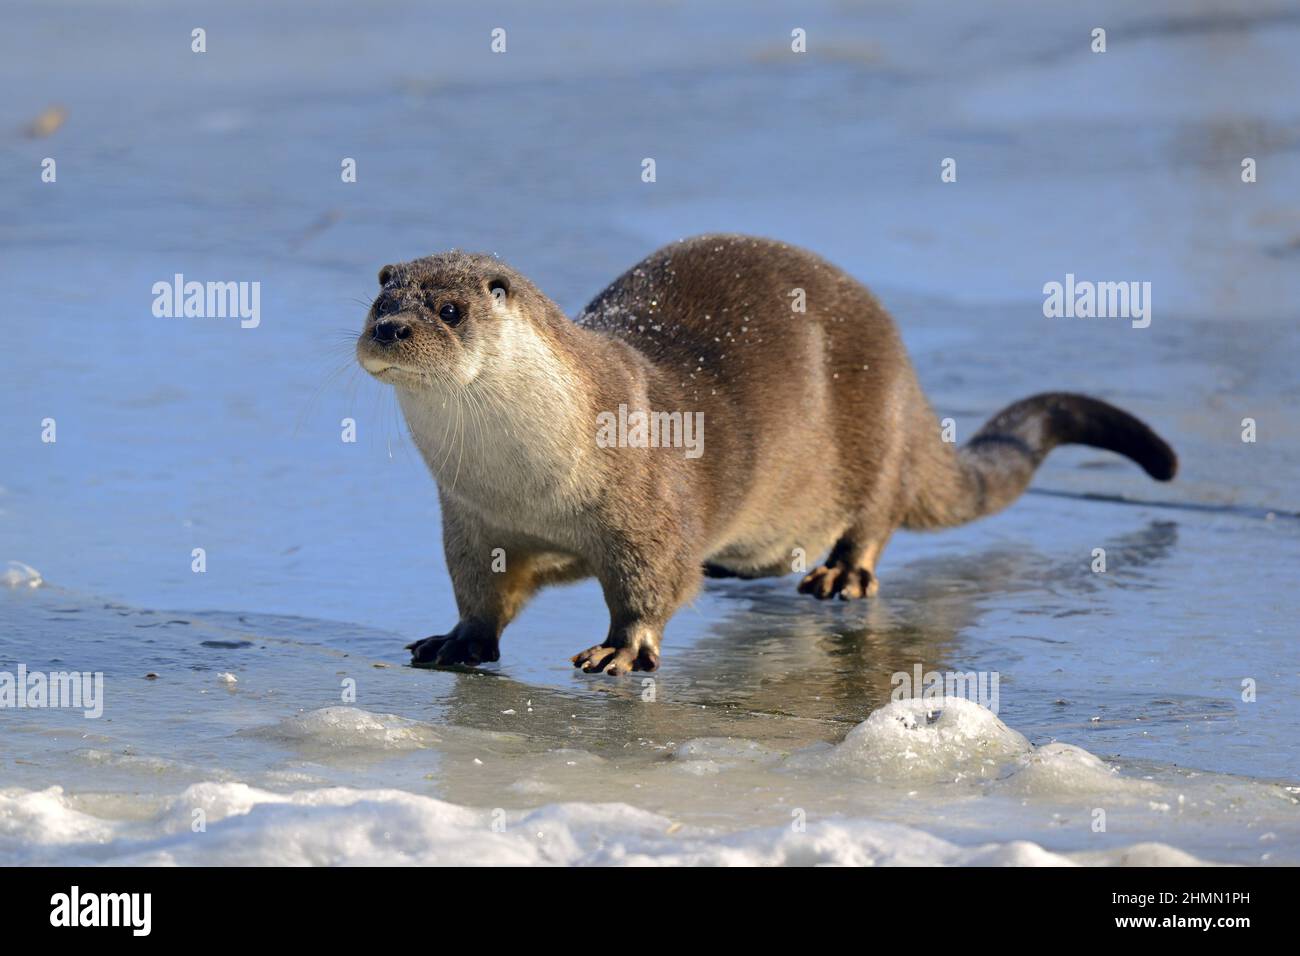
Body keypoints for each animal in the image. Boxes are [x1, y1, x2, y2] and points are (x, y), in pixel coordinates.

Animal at [356, 235, 1180, 676]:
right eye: (380, 301)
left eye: (450, 310)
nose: (391, 330)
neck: (529, 481)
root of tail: (907, 368)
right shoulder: (470, 519)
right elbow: (478, 590)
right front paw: (460, 639)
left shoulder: (647, 508)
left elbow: (650, 585)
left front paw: (621, 651)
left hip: (877, 424)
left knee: (875, 516)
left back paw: (843, 576)